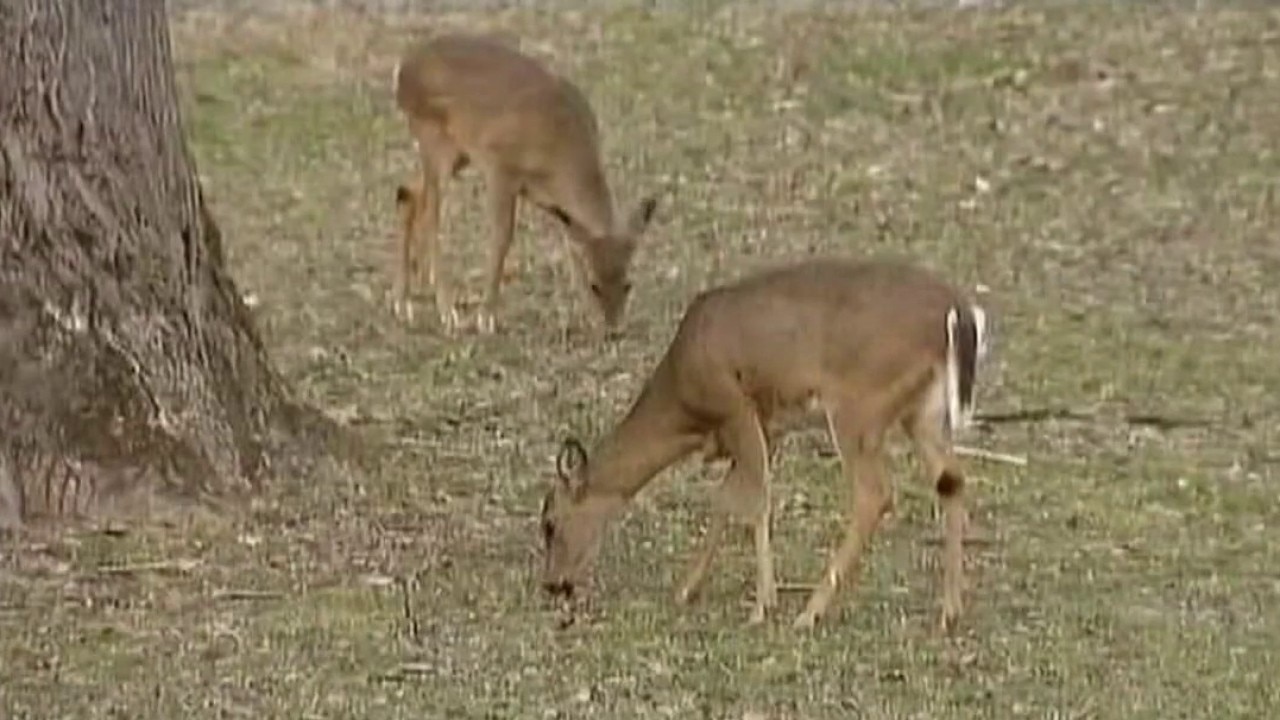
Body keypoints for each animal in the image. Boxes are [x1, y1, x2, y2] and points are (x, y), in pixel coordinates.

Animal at [390, 33, 659, 335]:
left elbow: (572, 250)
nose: (614, 330)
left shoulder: (558, 207)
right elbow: (501, 238)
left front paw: (588, 318)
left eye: (628, 284)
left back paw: (402, 305)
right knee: (431, 218)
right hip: (435, 141)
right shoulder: (501, 170)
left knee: (406, 192)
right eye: (595, 286)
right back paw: (447, 311)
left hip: (457, 154)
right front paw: (487, 317)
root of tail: (403, 71)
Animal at [538, 257, 990, 631]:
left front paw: (762, 606)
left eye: (550, 523)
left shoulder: (735, 407)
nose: (553, 584)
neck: (685, 402)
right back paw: (949, 610)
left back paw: (810, 613)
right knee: (952, 479)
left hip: (860, 407)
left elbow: (755, 501)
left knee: (874, 493)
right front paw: (687, 588)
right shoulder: (767, 426)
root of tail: (957, 312)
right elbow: (726, 498)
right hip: (923, 412)